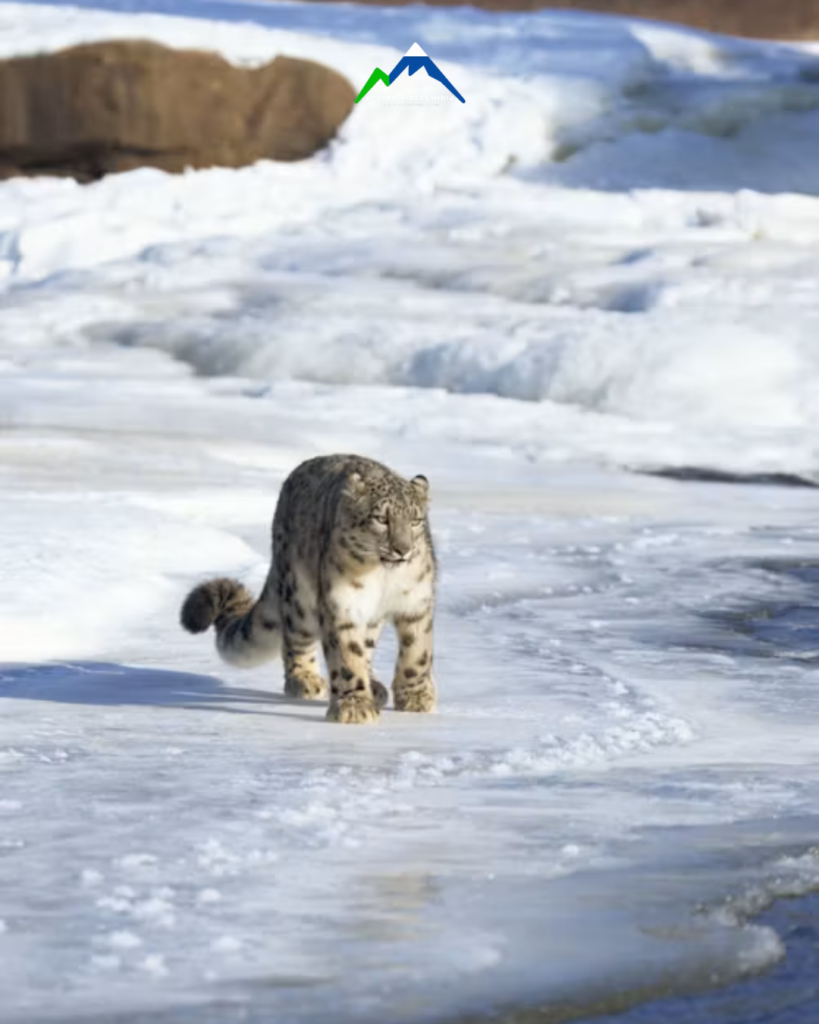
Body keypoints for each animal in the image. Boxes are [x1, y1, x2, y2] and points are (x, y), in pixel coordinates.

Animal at [180, 453, 437, 724]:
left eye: (416, 520)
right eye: (381, 519)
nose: (403, 549)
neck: (383, 576)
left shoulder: (416, 603)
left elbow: (417, 653)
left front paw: (416, 698)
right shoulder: (342, 604)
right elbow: (347, 657)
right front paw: (354, 707)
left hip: (369, 616)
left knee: (366, 645)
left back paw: (374, 686)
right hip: (299, 598)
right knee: (295, 639)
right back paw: (305, 680)